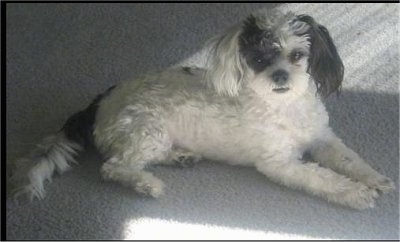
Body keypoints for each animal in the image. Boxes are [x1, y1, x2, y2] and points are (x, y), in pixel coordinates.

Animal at [9, 9, 394, 210]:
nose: (281, 75)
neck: (284, 107)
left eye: (298, 55)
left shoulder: (323, 138)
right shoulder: (281, 164)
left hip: (152, 137)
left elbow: (348, 160)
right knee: (115, 167)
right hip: (146, 130)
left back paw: (181, 158)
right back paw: (147, 184)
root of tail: (98, 103)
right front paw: (357, 193)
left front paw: (375, 179)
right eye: (258, 60)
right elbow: (323, 177)